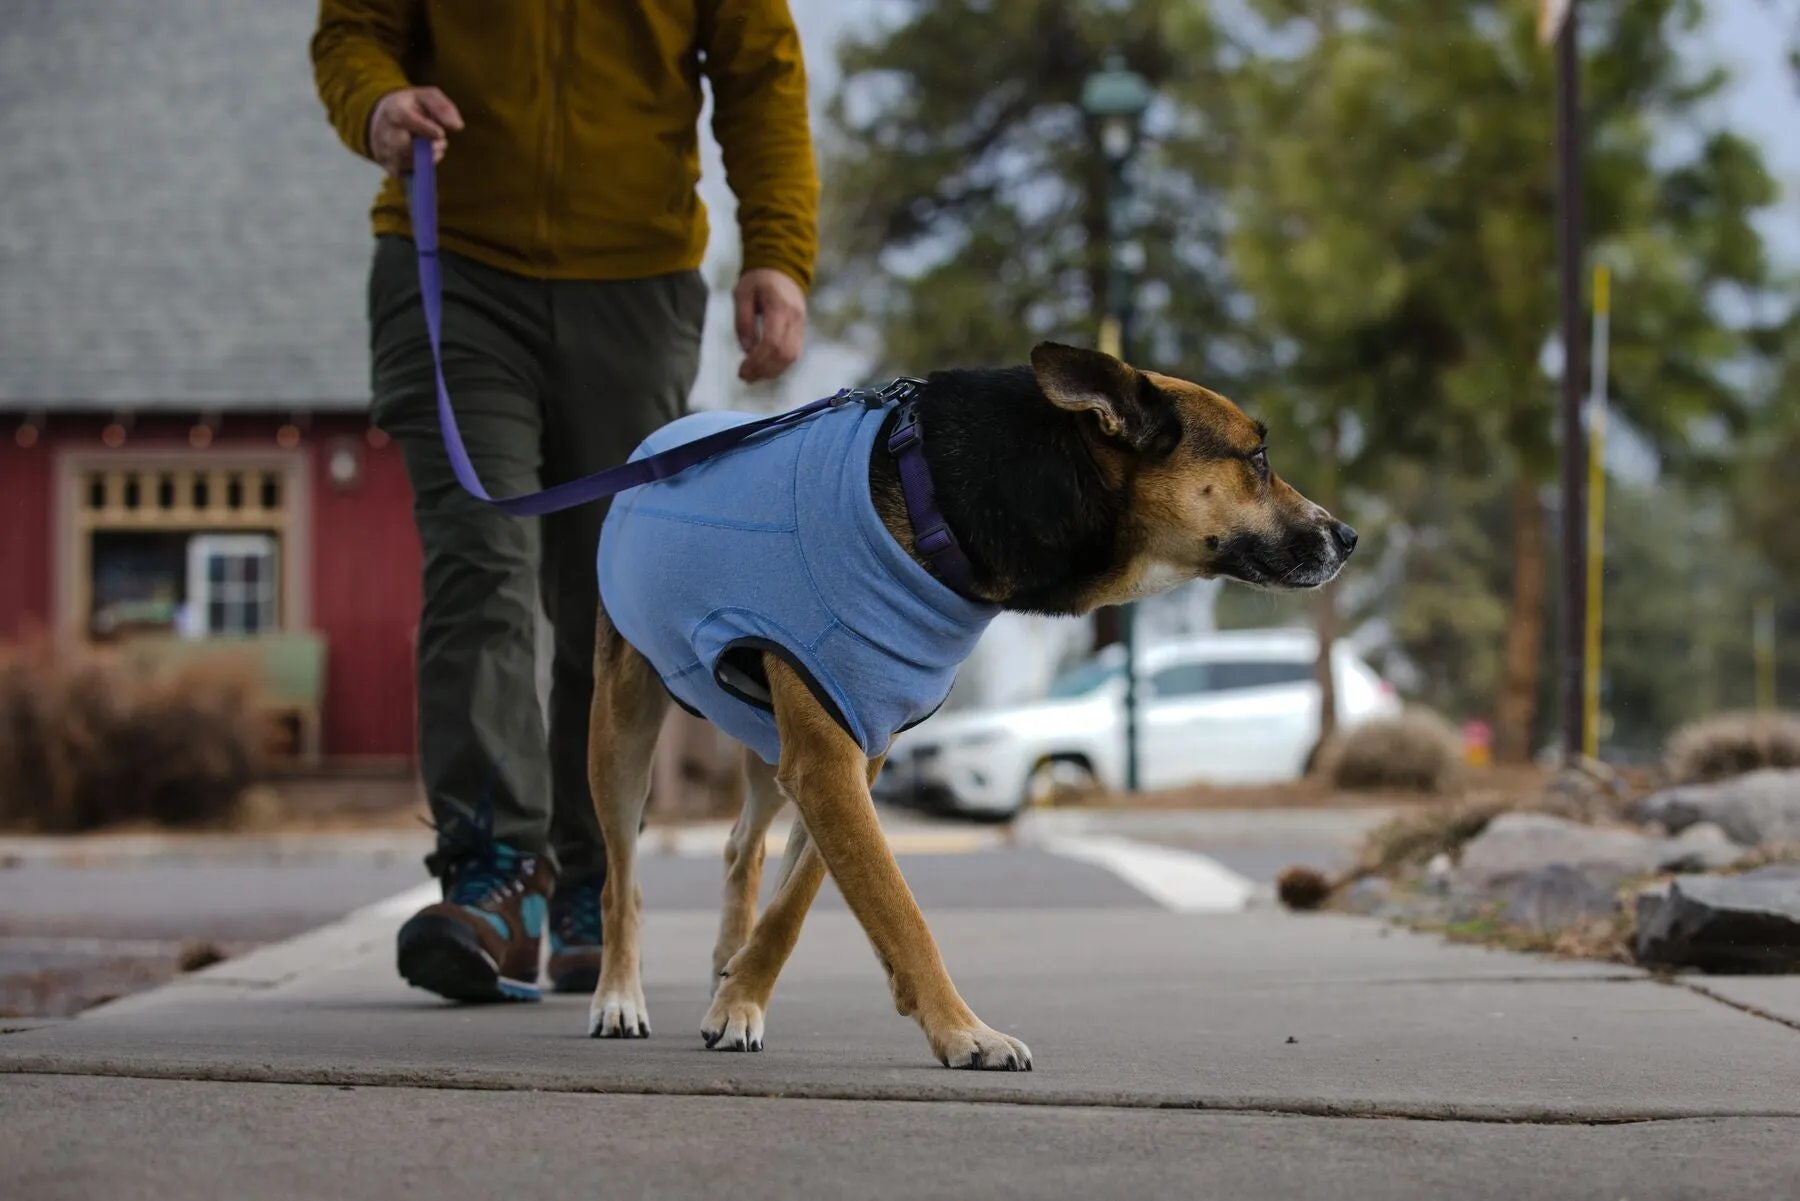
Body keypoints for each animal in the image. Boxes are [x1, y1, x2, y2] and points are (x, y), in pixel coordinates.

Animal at [583, 338, 1353, 1073]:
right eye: (1257, 458)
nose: (1348, 537)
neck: (940, 499)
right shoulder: (827, 761)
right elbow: (898, 909)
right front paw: (965, 1032)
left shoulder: (853, 748)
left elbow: (794, 901)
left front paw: (741, 994)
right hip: (623, 729)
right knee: (622, 880)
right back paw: (618, 996)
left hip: (761, 732)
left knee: (742, 847)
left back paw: (725, 967)